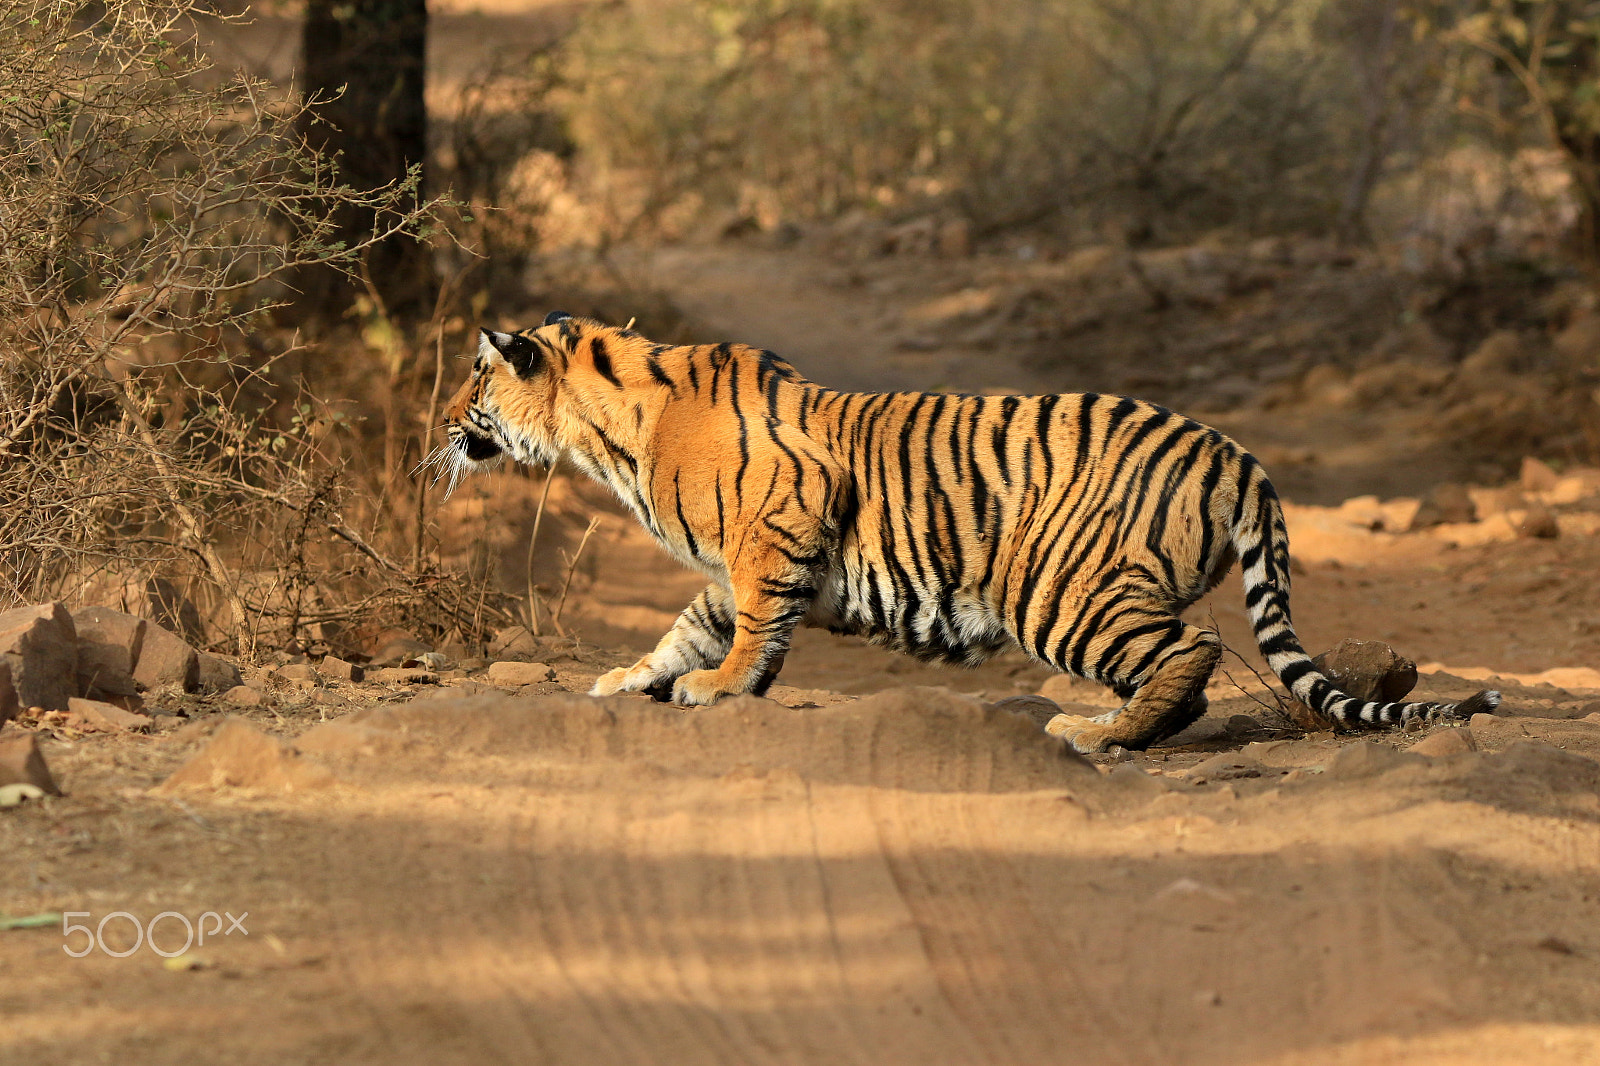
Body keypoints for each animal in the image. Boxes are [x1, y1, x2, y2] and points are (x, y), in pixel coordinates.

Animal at [428, 311, 1500, 753]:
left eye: (474, 380)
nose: (440, 420)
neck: (605, 433)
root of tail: (1240, 455)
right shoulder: (737, 564)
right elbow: (690, 624)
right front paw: (631, 677)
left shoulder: (779, 521)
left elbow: (748, 632)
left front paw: (720, 690)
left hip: (1061, 586)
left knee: (1189, 649)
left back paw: (1099, 733)